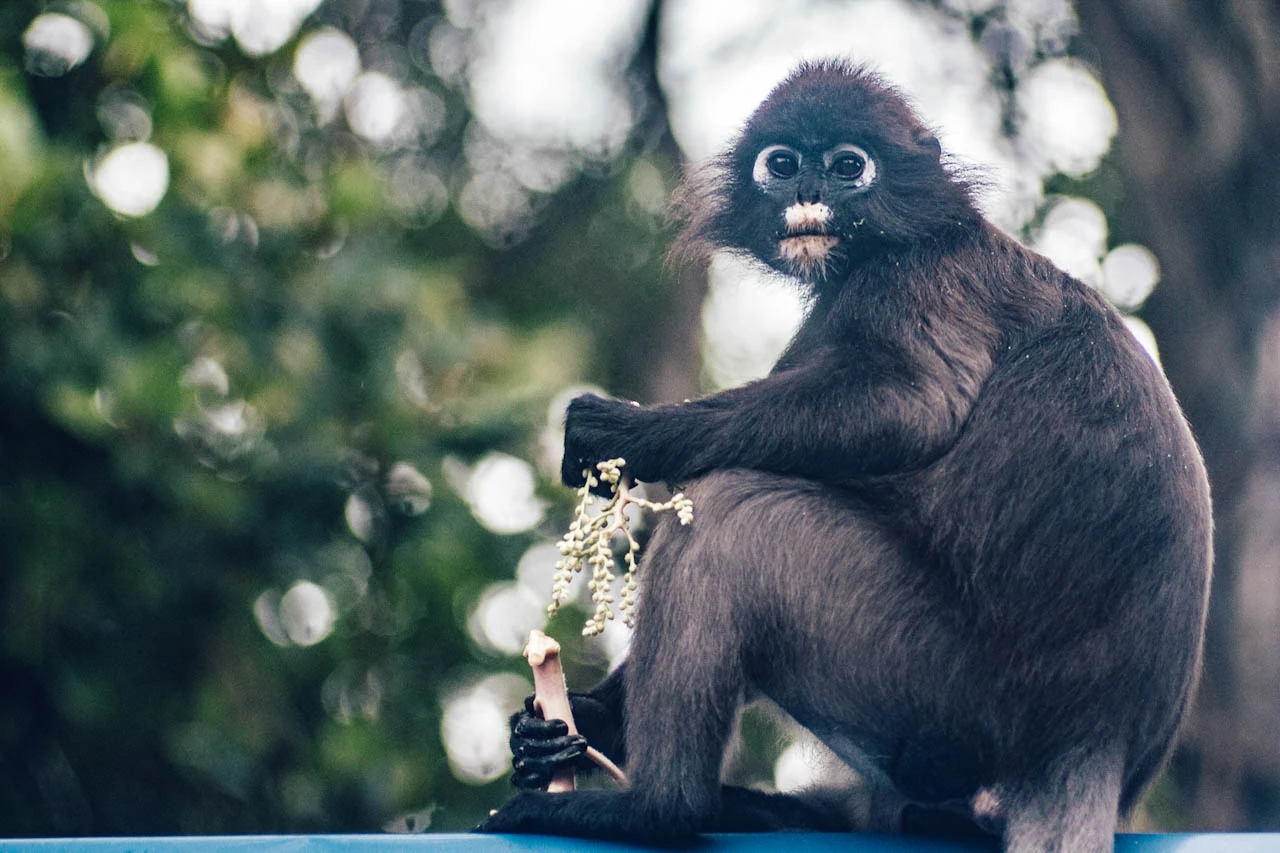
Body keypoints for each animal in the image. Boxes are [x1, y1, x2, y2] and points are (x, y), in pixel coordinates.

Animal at [476, 60, 1213, 852]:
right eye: (782, 164)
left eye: (848, 167)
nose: (808, 193)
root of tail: (1092, 741)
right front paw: (552, 728)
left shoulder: (920, 275)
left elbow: (910, 407)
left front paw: (624, 431)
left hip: (937, 683)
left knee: (734, 512)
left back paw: (657, 810)